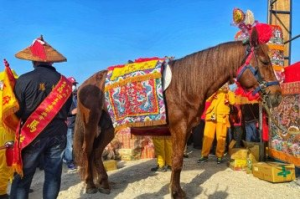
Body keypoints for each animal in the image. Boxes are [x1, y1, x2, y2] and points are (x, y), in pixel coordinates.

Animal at [72, 26, 282, 199]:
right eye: (264, 61)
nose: (277, 96)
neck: (185, 86)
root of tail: (85, 84)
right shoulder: (179, 128)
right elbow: (177, 160)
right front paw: (176, 192)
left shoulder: (187, 129)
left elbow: (177, 160)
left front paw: (175, 189)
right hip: (91, 124)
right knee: (87, 151)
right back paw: (91, 185)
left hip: (109, 127)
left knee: (96, 152)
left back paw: (104, 184)